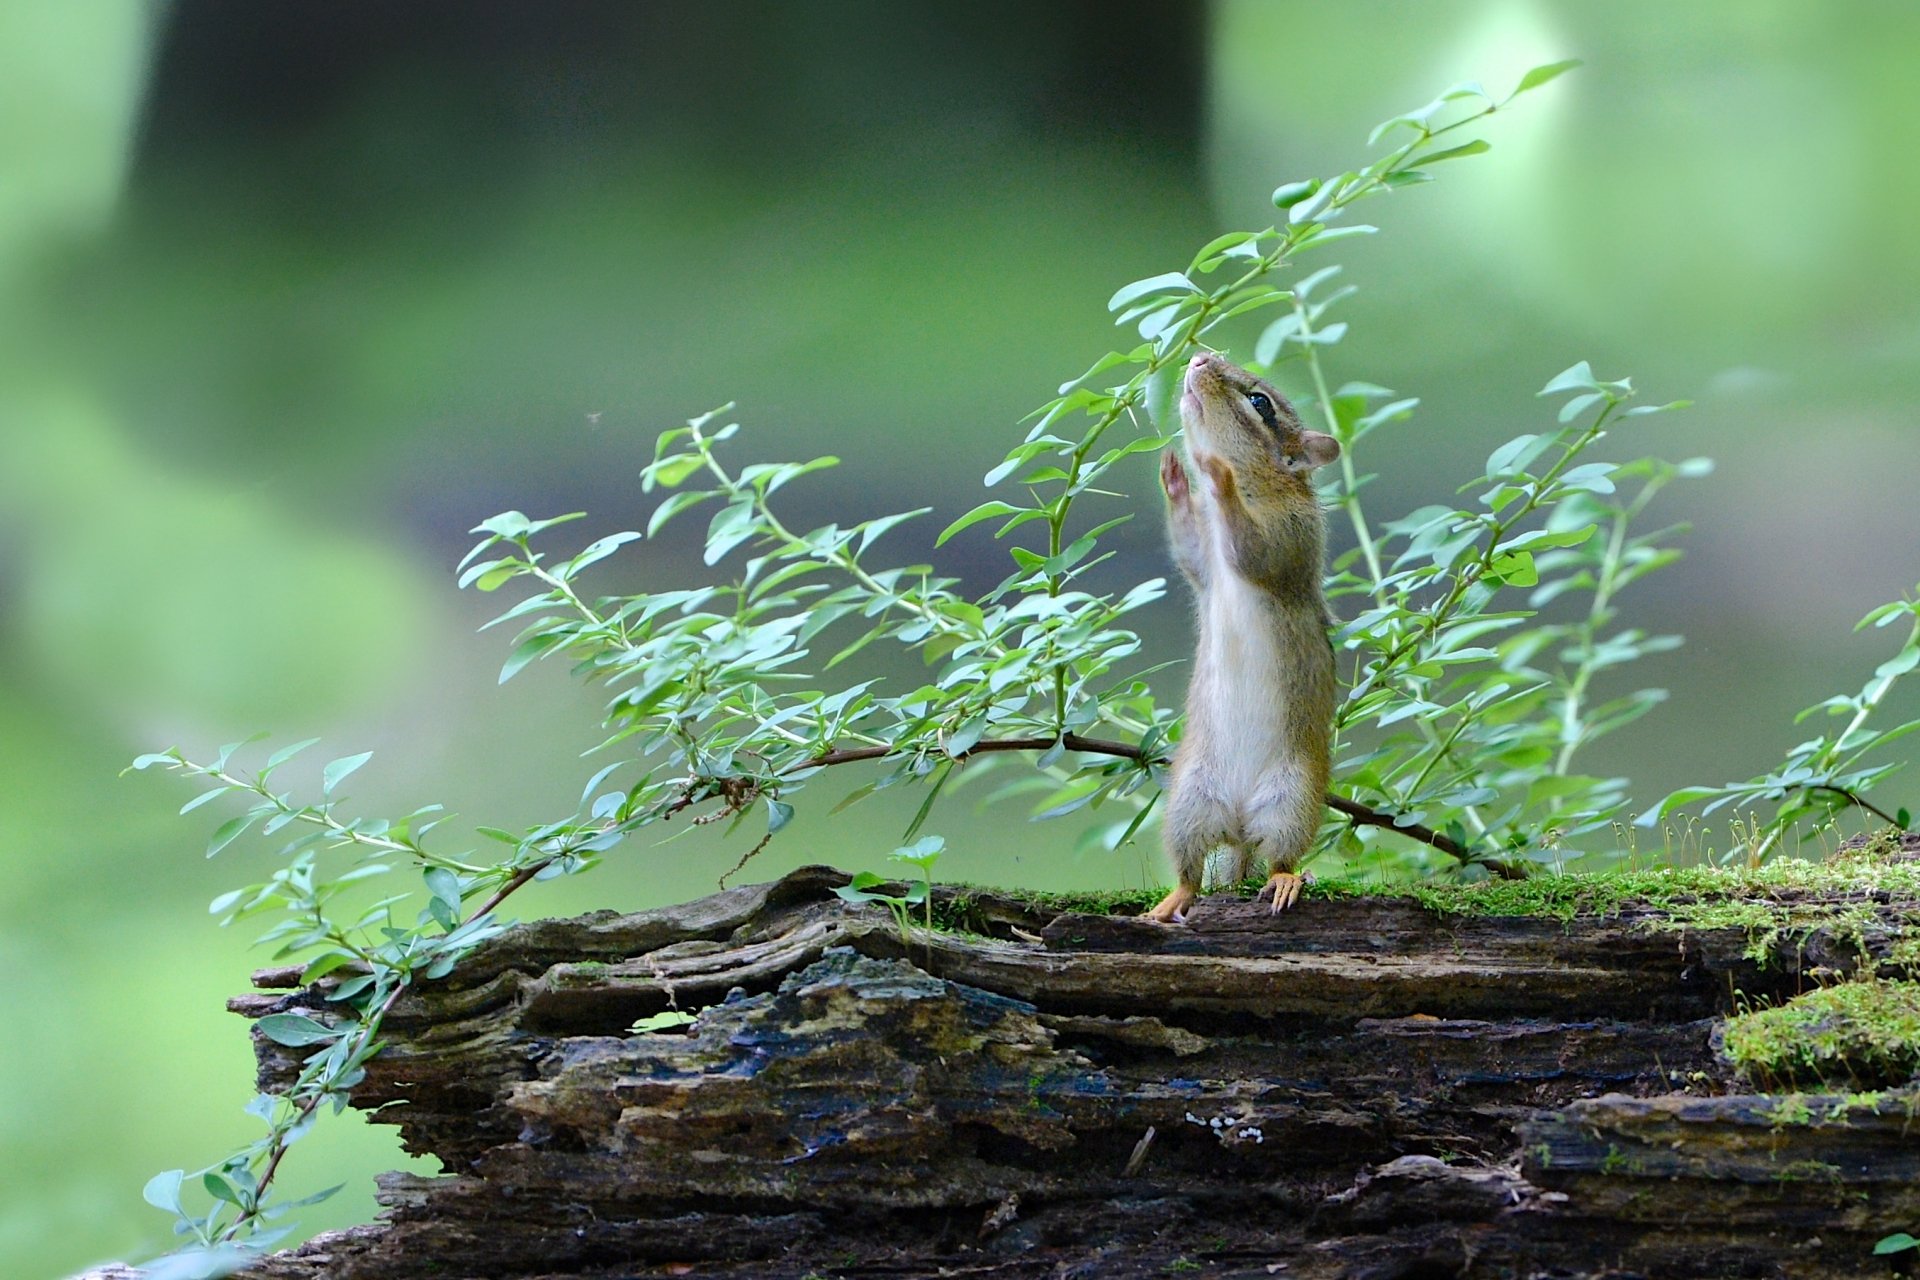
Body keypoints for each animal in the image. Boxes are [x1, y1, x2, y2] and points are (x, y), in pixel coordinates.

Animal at [1145, 351, 1340, 925]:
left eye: (1260, 402)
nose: (1199, 356)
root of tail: (1236, 825)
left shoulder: (1288, 533)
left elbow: (1254, 549)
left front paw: (1220, 478)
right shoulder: (1204, 564)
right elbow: (1188, 545)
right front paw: (1177, 481)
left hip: (1290, 800)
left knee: (1280, 855)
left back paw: (1284, 882)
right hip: (1187, 802)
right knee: (1190, 871)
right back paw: (1169, 902)